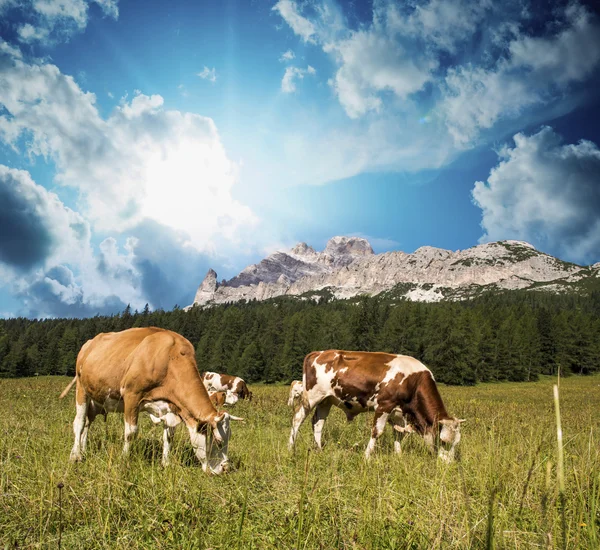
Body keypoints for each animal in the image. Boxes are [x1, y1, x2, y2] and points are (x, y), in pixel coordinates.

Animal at [58, 328, 241, 474]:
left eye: (229, 438)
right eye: (218, 442)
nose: (226, 468)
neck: (170, 358)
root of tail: (90, 343)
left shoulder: (170, 407)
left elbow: (169, 436)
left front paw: (166, 464)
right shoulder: (132, 395)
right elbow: (131, 433)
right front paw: (124, 460)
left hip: (96, 401)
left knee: (88, 424)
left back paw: (83, 450)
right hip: (82, 389)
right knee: (79, 422)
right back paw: (76, 455)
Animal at [288, 352, 466, 464]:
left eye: (457, 443)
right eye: (443, 442)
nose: (448, 464)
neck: (414, 381)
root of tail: (318, 352)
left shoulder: (398, 413)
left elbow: (398, 434)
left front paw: (398, 456)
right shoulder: (384, 405)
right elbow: (377, 432)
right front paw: (367, 457)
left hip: (326, 400)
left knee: (318, 423)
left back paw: (319, 449)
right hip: (312, 397)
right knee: (297, 419)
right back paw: (291, 448)